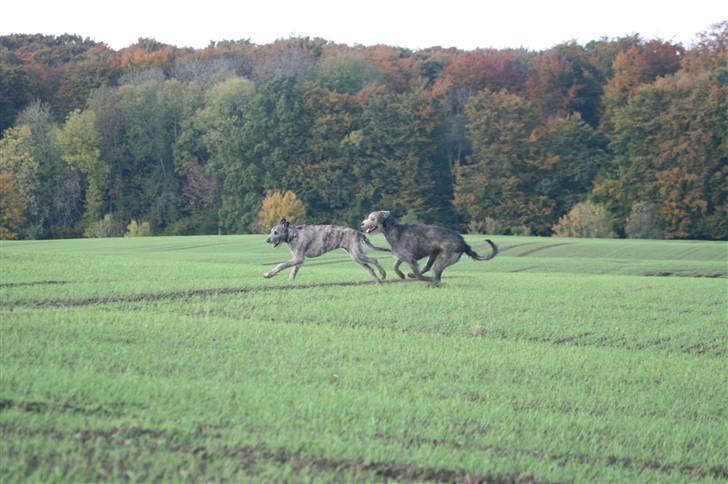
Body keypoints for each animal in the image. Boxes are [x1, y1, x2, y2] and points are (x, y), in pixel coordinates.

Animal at [362, 211, 498, 284]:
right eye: (368, 217)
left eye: (372, 218)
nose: (362, 223)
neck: (395, 231)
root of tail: (464, 243)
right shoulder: (402, 256)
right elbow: (395, 266)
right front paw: (401, 275)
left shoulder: (410, 259)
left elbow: (417, 274)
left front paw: (422, 278)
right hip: (433, 254)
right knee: (427, 268)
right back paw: (414, 276)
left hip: (443, 258)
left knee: (435, 274)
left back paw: (430, 281)